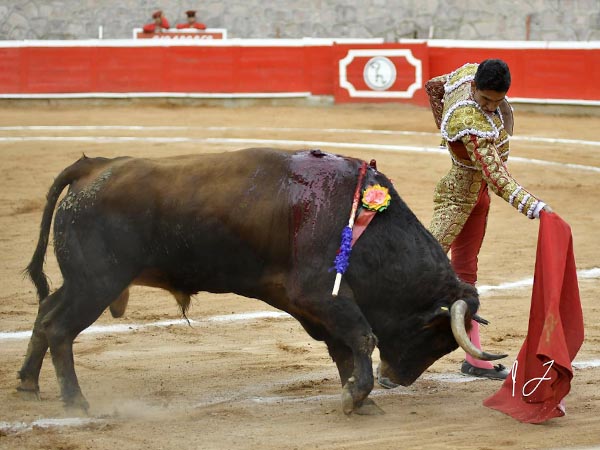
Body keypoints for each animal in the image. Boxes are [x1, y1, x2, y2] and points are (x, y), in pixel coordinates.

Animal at [18, 148, 504, 414]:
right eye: (436, 335)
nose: (395, 380)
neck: (365, 224)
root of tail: (91, 168)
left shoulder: (316, 305)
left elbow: (344, 348)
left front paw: (360, 399)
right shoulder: (321, 294)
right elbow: (362, 338)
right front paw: (357, 396)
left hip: (80, 282)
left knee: (44, 315)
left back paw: (28, 384)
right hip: (95, 283)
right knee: (58, 327)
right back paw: (76, 403)